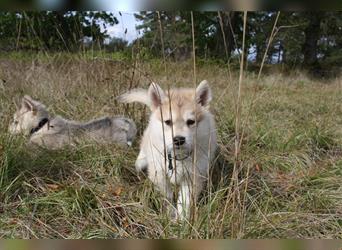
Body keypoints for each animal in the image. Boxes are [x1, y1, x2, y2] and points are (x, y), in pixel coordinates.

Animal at [119, 81, 218, 220]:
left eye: (191, 122)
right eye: (168, 122)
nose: (179, 139)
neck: (177, 157)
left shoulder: (192, 177)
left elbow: (185, 201)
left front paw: (182, 220)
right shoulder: (159, 174)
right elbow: (167, 196)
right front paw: (170, 214)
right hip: (144, 159)